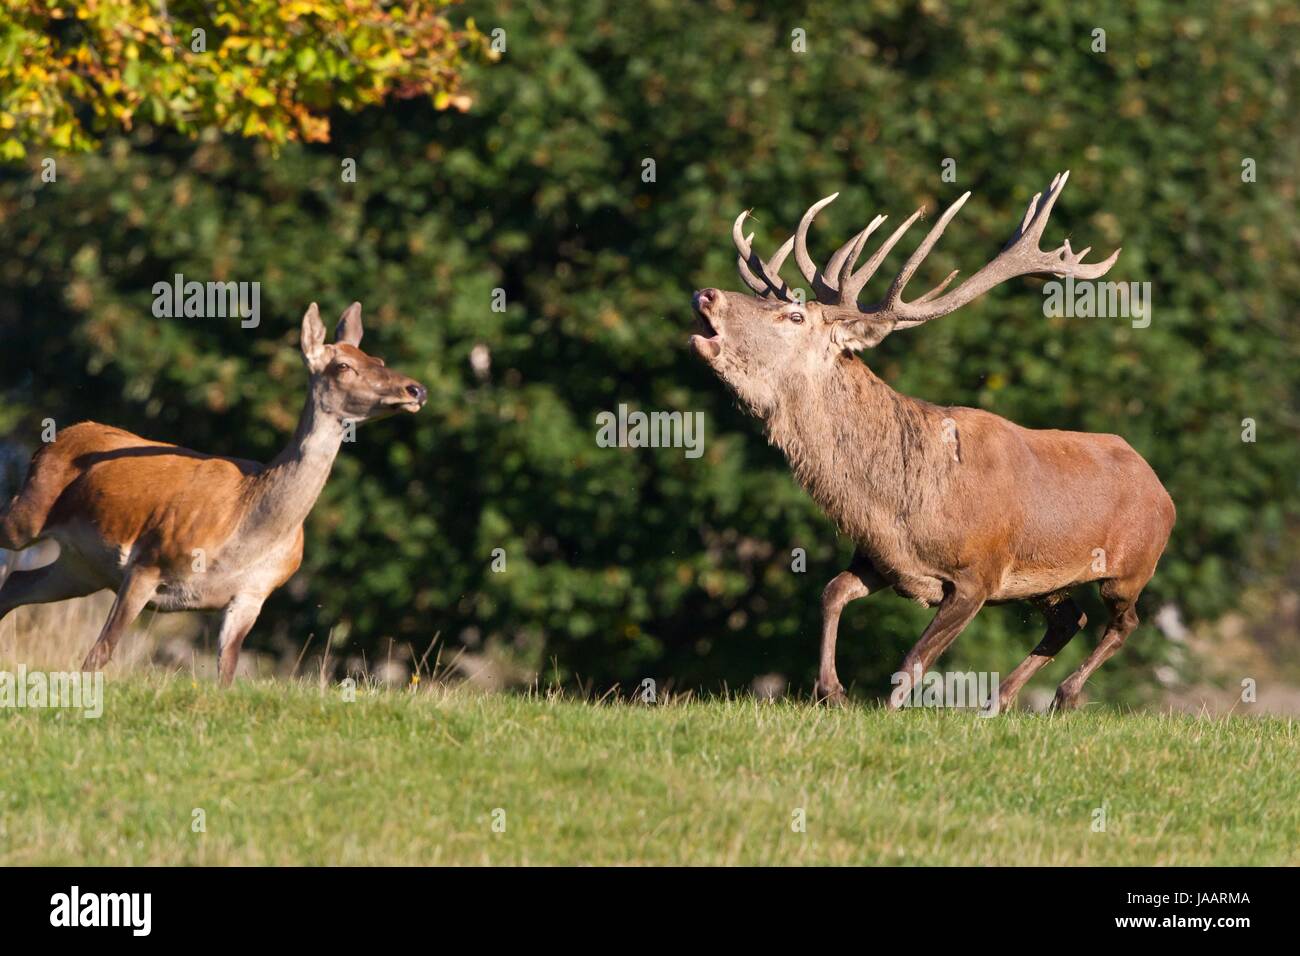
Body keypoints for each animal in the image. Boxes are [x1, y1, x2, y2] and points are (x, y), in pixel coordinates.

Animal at [0, 303, 428, 686]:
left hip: (81, 567)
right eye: (342, 366)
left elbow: (226, 672)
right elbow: (100, 652)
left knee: (16, 584)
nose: (416, 388)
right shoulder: (148, 561)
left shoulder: (252, 595)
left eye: (378, 357)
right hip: (29, 514)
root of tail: (57, 437)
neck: (245, 532)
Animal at [691, 170, 1180, 712]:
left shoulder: (977, 576)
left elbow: (910, 663)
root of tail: (1161, 489)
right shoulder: (882, 560)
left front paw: (885, 711)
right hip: (1045, 583)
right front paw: (831, 690)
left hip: (1130, 568)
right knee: (1070, 619)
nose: (707, 294)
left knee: (1123, 622)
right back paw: (999, 700)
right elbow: (831, 592)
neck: (901, 505)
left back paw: (1064, 695)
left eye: (794, 317)